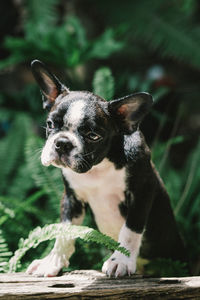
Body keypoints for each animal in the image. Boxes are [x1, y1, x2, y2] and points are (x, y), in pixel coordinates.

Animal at [26, 59, 186, 278]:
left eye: (93, 136)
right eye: (50, 124)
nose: (62, 143)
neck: (98, 168)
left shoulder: (143, 191)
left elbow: (130, 229)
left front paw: (121, 261)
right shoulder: (71, 198)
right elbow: (64, 231)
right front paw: (52, 262)